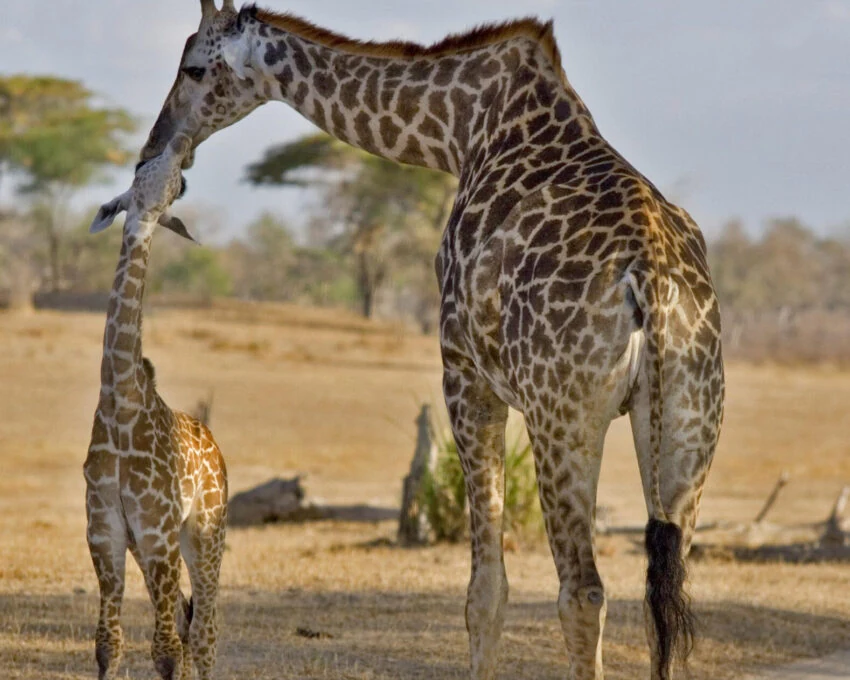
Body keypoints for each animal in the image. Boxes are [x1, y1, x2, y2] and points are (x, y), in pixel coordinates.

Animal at [83, 133, 228, 680]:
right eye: (135, 183)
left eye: (169, 190)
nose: (177, 151)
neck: (119, 402)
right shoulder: (106, 531)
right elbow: (109, 644)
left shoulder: (159, 530)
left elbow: (164, 649)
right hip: (151, 548)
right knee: (188, 624)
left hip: (204, 530)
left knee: (204, 632)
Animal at [138, 3, 724, 678]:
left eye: (193, 67)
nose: (153, 148)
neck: (460, 130)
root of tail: (651, 280)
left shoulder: (464, 371)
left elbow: (485, 592)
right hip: (690, 419)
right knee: (667, 602)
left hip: (565, 415)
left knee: (583, 592)